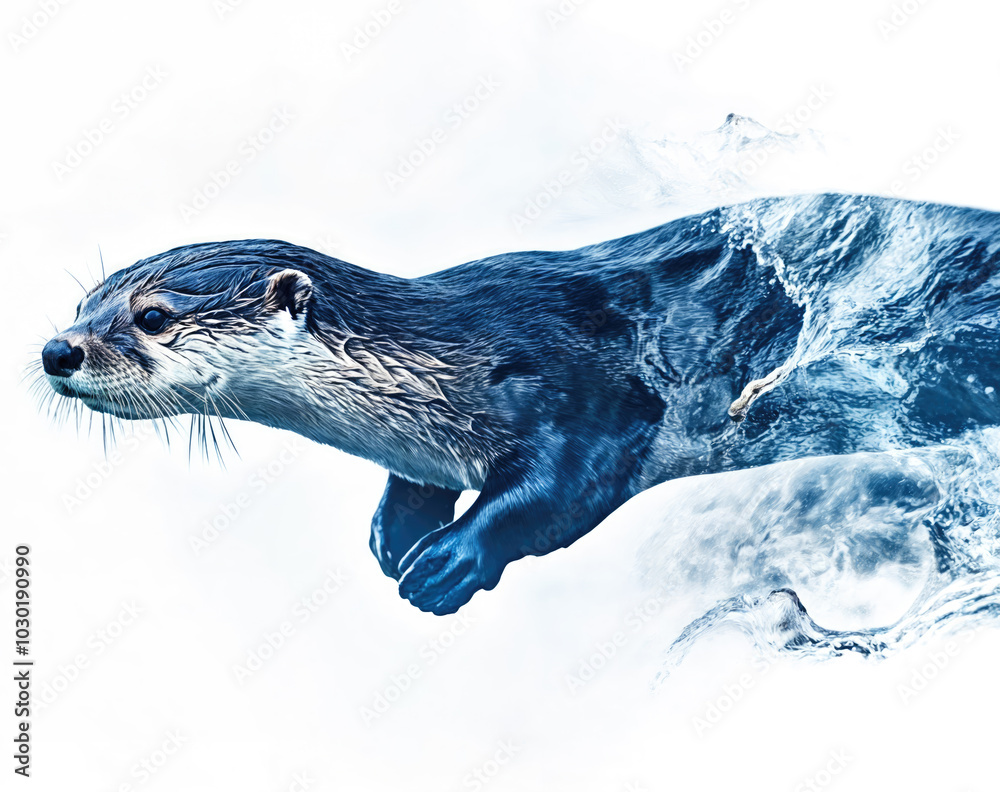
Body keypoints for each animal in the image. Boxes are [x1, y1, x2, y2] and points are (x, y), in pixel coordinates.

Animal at [40, 194, 1000, 614]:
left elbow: (559, 489)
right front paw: (395, 534)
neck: (445, 362)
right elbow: (417, 483)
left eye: (152, 316)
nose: (58, 350)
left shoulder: (591, 391)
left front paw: (447, 562)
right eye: (84, 302)